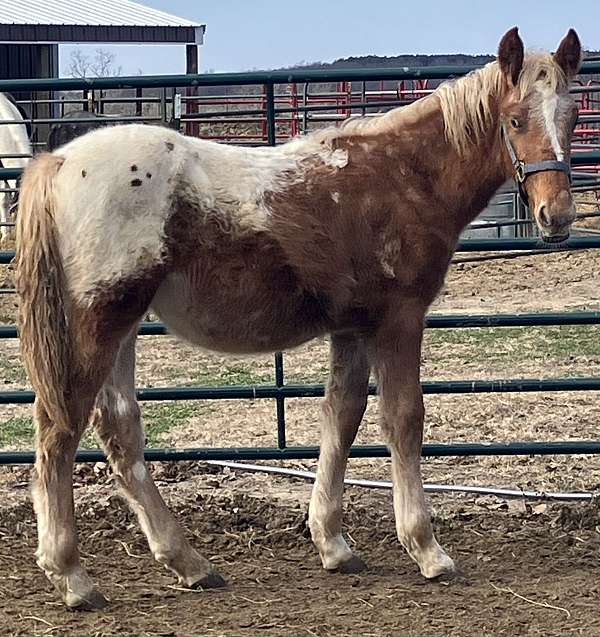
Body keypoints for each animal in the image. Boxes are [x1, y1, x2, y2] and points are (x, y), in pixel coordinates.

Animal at [15, 27, 580, 608]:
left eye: (573, 114)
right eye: (516, 118)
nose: (556, 217)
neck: (404, 178)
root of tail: (57, 164)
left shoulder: (353, 327)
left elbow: (342, 416)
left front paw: (333, 544)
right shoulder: (398, 320)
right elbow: (403, 419)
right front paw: (427, 550)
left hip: (123, 327)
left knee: (119, 429)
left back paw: (189, 563)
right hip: (97, 325)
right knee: (60, 430)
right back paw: (74, 577)